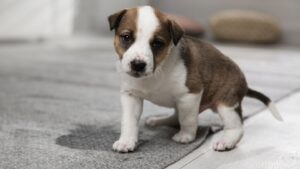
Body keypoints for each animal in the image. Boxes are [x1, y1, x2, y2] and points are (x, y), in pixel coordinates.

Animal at [108, 5, 284, 152]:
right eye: (126, 37)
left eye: (157, 43)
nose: (138, 65)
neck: (157, 71)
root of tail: (245, 84)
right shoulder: (131, 96)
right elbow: (129, 121)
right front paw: (126, 141)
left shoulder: (190, 95)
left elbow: (188, 119)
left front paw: (186, 136)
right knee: (175, 117)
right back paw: (159, 121)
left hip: (226, 104)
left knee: (236, 127)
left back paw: (226, 141)